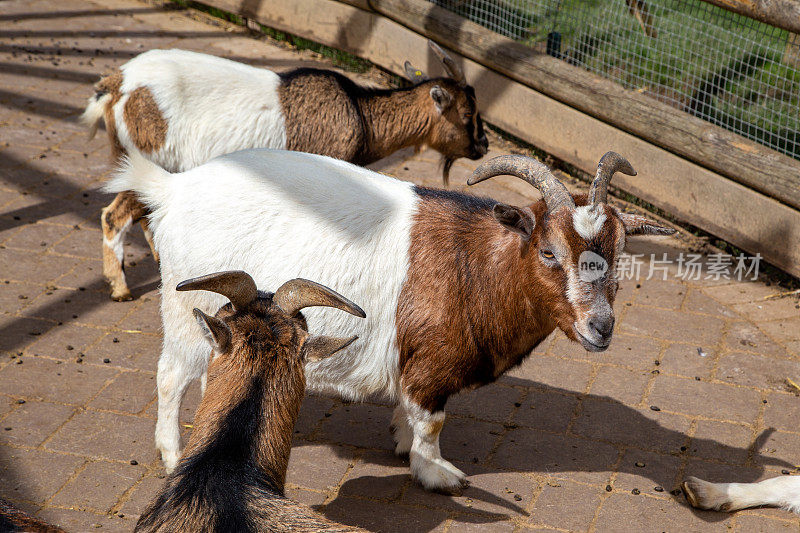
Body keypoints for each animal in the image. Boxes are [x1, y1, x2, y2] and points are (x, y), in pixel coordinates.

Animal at [83, 42, 488, 300]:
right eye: (467, 114)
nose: (483, 145)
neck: (360, 113)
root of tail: (118, 83)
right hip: (149, 155)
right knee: (114, 216)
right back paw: (120, 288)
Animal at [108, 147, 676, 490]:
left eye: (619, 253)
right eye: (549, 252)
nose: (601, 327)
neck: (474, 265)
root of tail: (173, 190)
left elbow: (412, 412)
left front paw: (404, 442)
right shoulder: (433, 363)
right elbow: (433, 421)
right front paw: (436, 472)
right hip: (186, 311)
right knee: (170, 376)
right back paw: (171, 454)